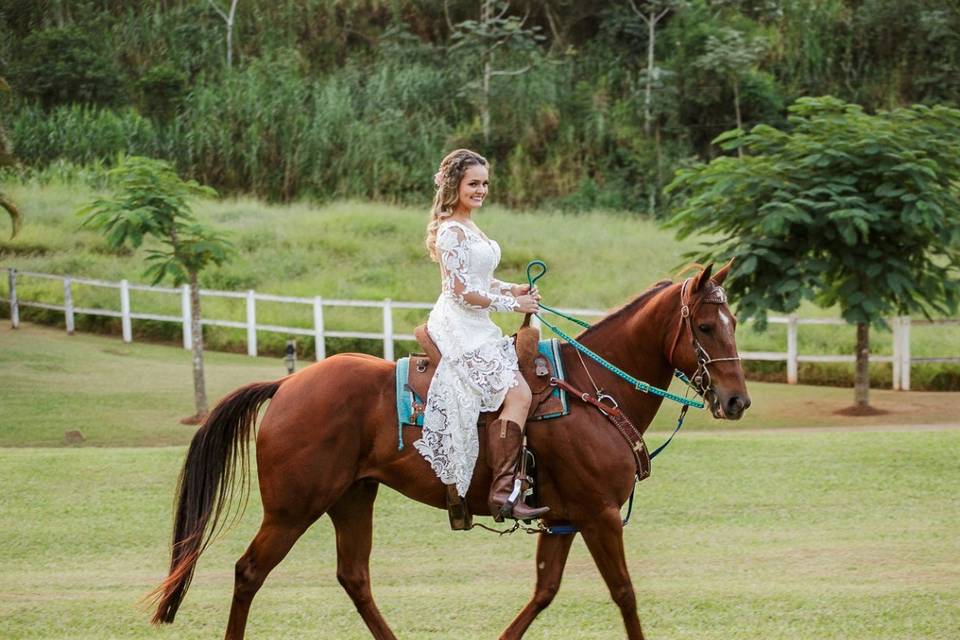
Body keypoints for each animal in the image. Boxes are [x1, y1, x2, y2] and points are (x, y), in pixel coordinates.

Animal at [150, 262, 752, 636]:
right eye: (704, 325)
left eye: (734, 322)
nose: (737, 400)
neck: (594, 389)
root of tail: (287, 385)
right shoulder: (599, 514)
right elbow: (625, 593)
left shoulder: (562, 518)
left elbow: (545, 591)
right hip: (294, 508)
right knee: (249, 572)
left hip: (352, 498)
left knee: (354, 577)